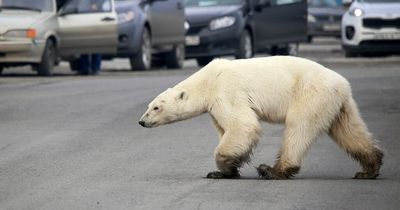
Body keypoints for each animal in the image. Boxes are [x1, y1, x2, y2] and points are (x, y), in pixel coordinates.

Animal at [139, 55, 382, 179]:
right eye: (149, 106)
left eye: (156, 108)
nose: (141, 121)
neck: (207, 80)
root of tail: (343, 84)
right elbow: (226, 129)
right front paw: (227, 169)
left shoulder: (226, 91)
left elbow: (243, 125)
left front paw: (222, 168)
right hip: (338, 104)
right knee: (349, 131)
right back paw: (369, 168)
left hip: (311, 93)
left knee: (298, 127)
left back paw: (273, 170)